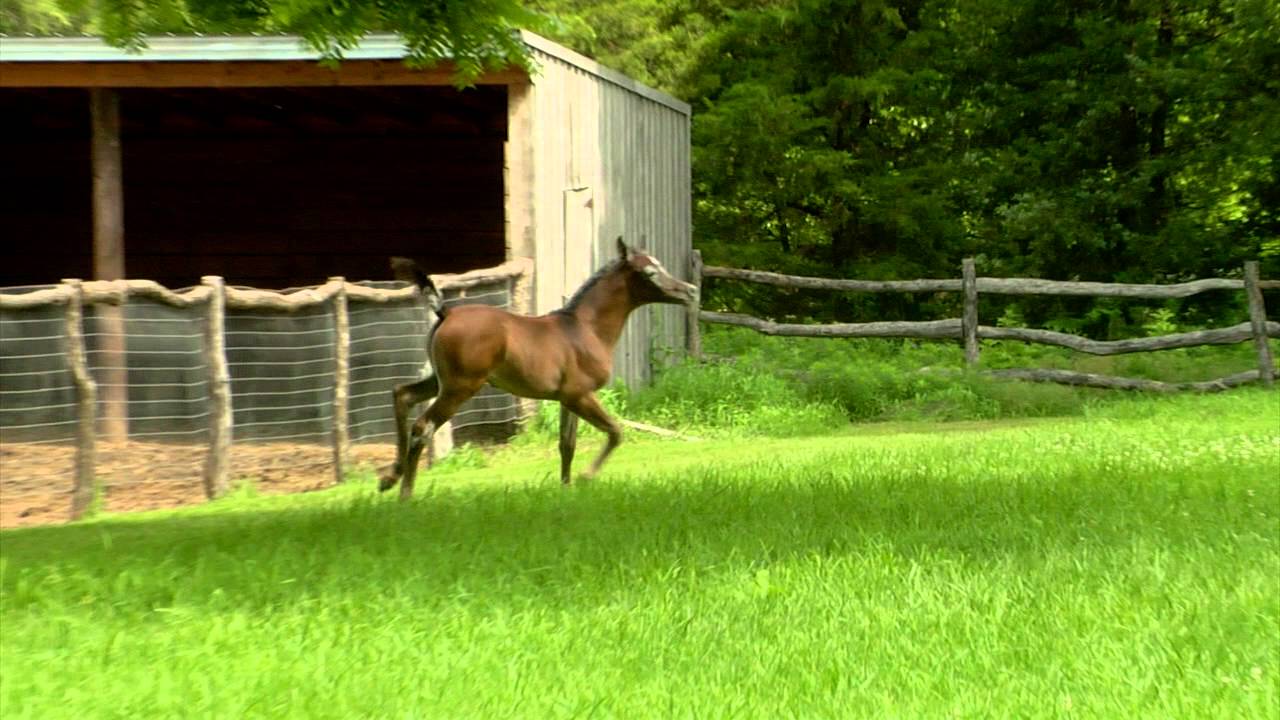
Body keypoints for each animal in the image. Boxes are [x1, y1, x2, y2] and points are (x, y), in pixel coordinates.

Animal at [379, 237, 697, 500]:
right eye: (650, 272)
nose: (690, 291)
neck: (585, 329)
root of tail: (446, 312)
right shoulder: (580, 395)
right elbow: (615, 432)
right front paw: (586, 477)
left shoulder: (568, 399)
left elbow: (567, 444)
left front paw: (566, 488)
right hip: (460, 387)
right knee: (423, 426)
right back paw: (405, 494)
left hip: (440, 380)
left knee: (402, 394)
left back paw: (389, 478)